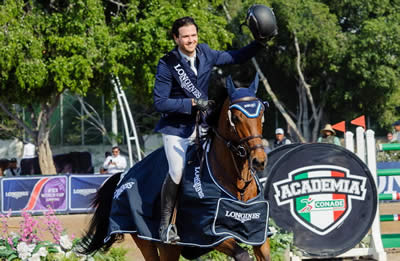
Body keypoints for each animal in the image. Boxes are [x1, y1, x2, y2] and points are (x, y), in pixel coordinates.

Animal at [79, 73, 268, 260]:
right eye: (235, 118)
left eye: (261, 115)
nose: (259, 160)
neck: (237, 181)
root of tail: (124, 176)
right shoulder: (211, 234)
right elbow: (243, 255)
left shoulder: (258, 234)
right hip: (149, 241)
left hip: (170, 248)